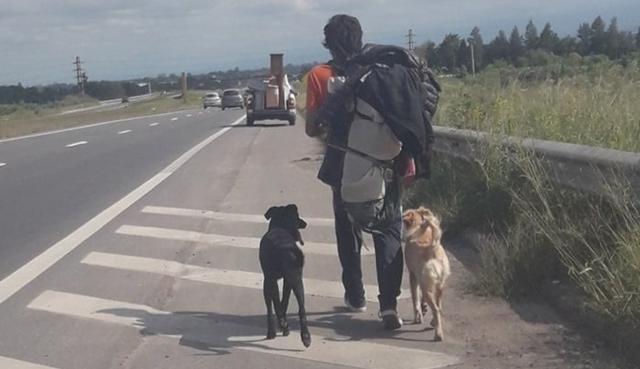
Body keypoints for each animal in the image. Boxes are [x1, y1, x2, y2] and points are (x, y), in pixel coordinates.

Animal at [258, 203, 312, 346]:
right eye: (297, 216)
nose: (305, 223)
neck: (280, 226)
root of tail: (285, 248)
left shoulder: (268, 281)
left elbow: (272, 306)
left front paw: (274, 330)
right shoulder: (287, 280)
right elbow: (283, 301)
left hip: (276, 279)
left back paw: (283, 325)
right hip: (297, 280)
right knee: (301, 309)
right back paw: (306, 337)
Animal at [402, 206, 452, 340]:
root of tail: (432, 247)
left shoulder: (413, 276)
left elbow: (415, 299)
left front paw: (418, 317)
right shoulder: (421, 279)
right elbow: (421, 299)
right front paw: (423, 308)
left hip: (427, 286)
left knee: (435, 309)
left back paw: (438, 334)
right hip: (439, 286)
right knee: (438, 306)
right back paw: (433, 323)